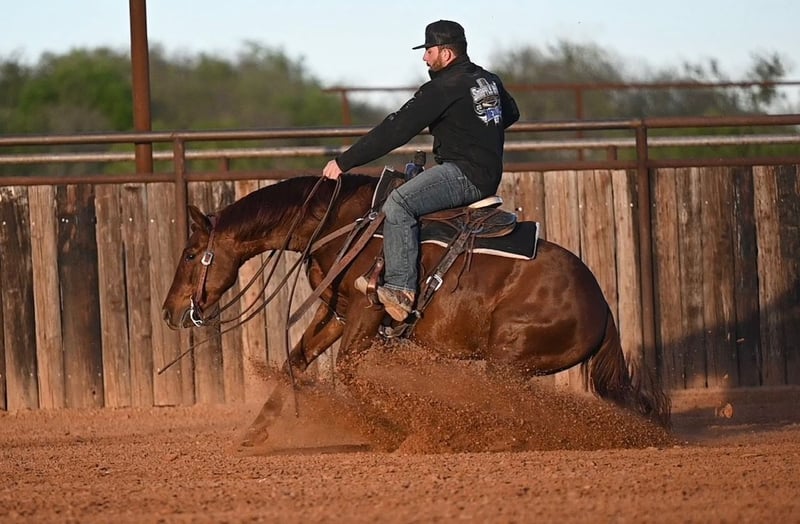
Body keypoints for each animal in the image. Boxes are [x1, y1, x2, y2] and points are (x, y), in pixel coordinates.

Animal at [161, 174, 671, 437]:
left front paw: (392, 427)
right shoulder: (336, 314)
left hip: (507, 360)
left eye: (189, 254)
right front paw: (254, 434)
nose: (169, 311)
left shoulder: (367, 315)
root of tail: (602, 305)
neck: (344, 225)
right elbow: (295, 364)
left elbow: (347, 373)